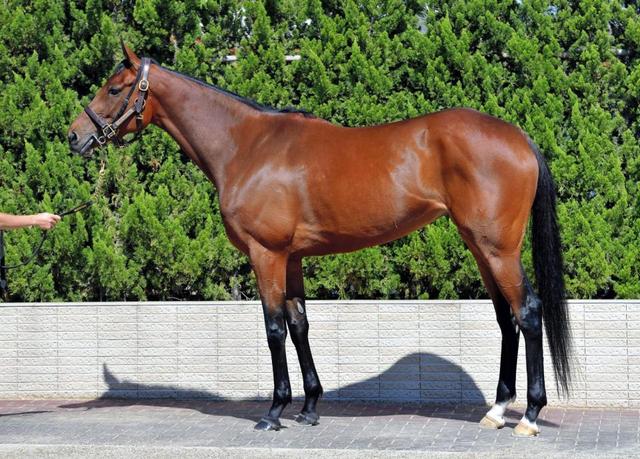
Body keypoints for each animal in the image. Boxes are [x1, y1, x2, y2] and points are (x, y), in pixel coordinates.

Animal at [68, 43, 571, 437]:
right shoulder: (291, 258)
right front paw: (309, 407)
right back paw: (497, 410)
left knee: (528, 313)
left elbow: (273, 329)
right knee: (506, 319)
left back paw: (529, 415)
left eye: (114, 88)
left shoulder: (266, 255)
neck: (247, 147)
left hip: (498, 250)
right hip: (480, 247)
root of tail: (519, 137)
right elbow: (299, 325)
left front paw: (274, 411)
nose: (75, 136)